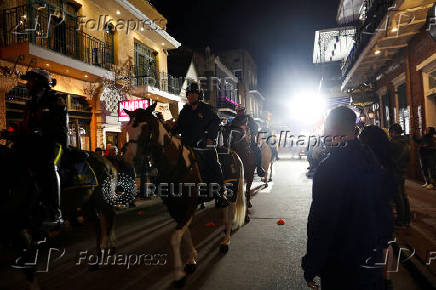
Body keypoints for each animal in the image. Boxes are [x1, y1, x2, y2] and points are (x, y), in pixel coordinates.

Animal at [122, 103, 245, 286]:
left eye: (146, 127)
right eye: (129, 127)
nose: (129, 161)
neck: (176, 164)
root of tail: (232, 153)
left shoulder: (188, 206)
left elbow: (175, 238)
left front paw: (179, 275)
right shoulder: (175, 207)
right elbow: (184, 233)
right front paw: (191, 259)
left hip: (232, 192)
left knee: (229, 215)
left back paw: (225, 241)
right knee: (224, 213)